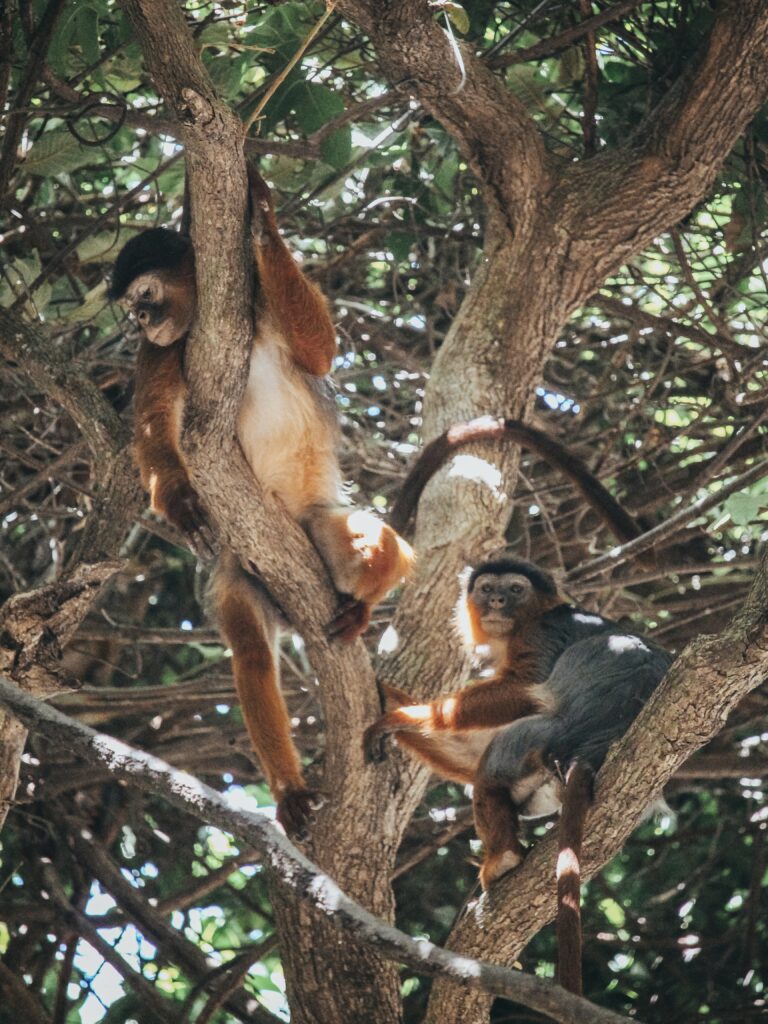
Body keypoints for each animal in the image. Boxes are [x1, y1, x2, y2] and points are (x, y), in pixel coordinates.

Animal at [109, 163, 413, 837]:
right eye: (132, 313)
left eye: (145, 298)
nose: (139, 323)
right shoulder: (162, 353)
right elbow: (155, 431)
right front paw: (181, 502)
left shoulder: (244, 316)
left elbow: (321, 351)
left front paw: (261, 219)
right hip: (239, 571)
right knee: (251, 657)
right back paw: (291, 789)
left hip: (312, 530)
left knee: (381, 545)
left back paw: (361, 605)